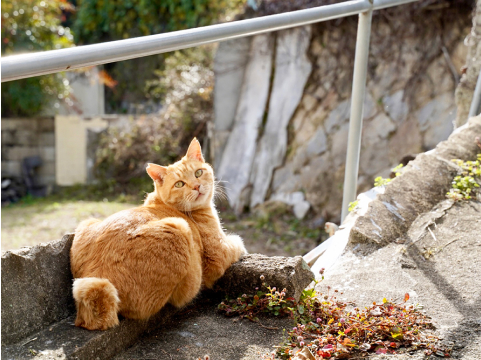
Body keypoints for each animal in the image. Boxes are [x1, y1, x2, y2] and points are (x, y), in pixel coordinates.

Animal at [70, 139, 248, 330]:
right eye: (179, 184)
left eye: (198, 173)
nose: (197, 186)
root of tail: (96, 273)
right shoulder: (218, 254)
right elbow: (237, 242)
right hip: (179, 228)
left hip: (87, 223)